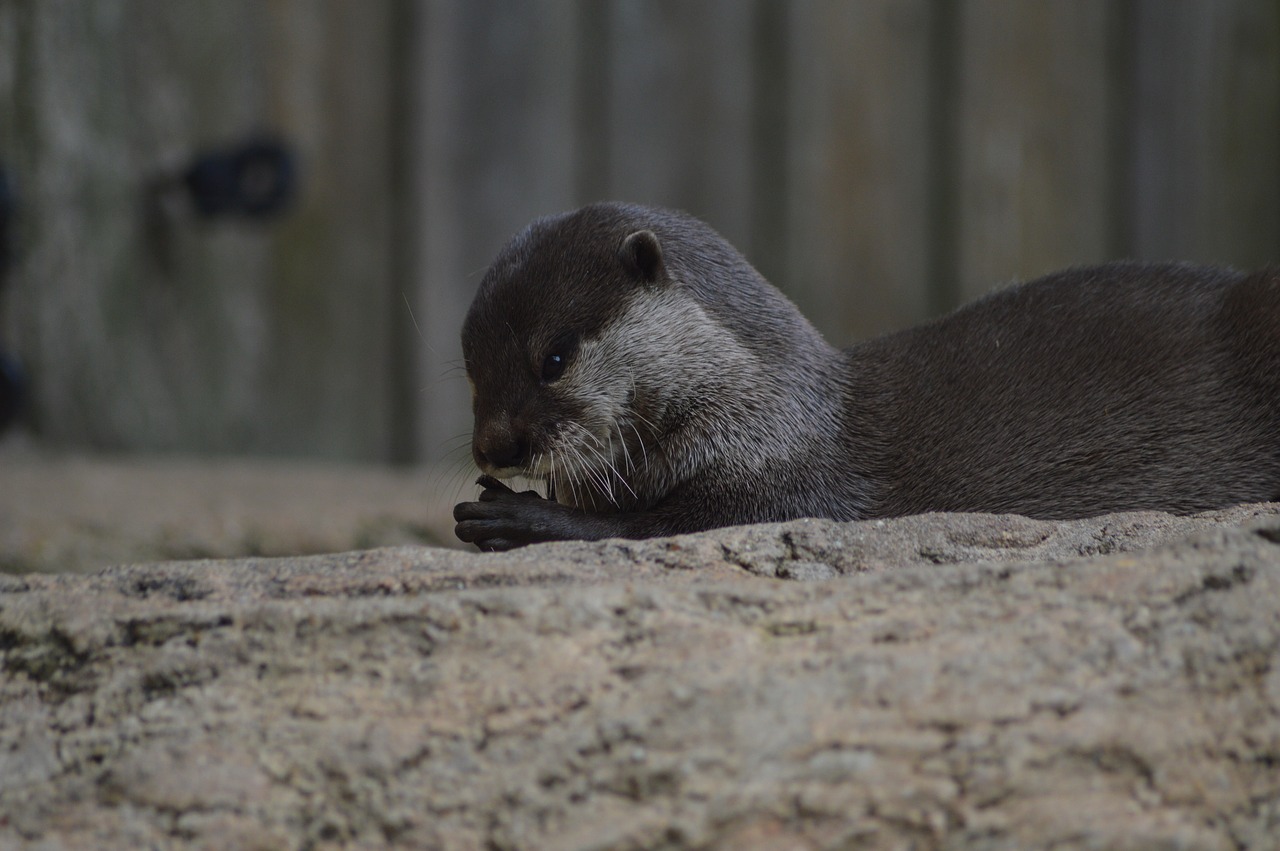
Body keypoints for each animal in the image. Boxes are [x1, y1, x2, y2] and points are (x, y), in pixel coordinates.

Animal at [453, 204, 1280, 550]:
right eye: (469, 366)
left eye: (553, 358)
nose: (493, 445)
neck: (765, 404)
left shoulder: (784, 479)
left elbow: (662, 525)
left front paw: (523, 516)